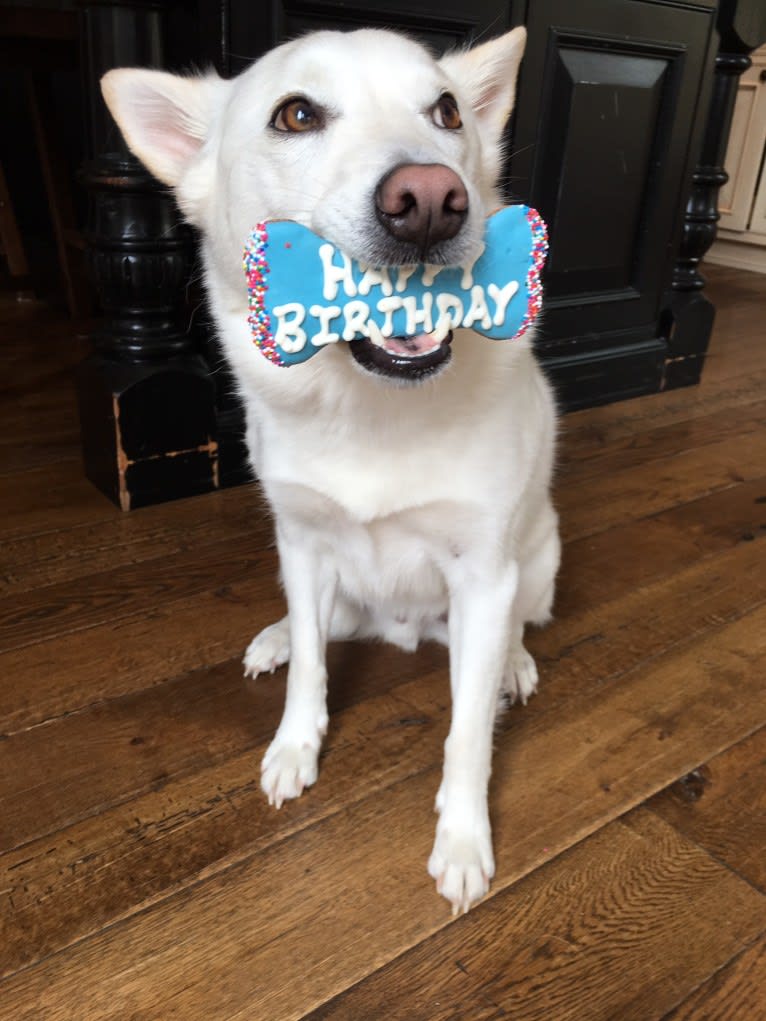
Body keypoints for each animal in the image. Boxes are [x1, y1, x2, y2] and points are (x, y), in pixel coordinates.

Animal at [102, 27, 559, 914]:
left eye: (446, 111)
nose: (432, 198)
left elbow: (466, 732)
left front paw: (462, 839)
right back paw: (278, 636)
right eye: (297, 115)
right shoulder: (303, 543)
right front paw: (294, 745)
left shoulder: (483, 575)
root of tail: (405, 628)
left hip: (539, 556)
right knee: (320, 625)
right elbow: (314, 666)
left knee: (516, 628)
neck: (369, 406)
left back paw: (514, 664)